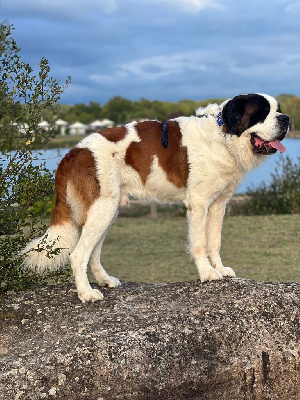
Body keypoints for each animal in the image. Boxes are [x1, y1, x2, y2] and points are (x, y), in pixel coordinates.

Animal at [22, 92, 290, 302]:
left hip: (108, 210)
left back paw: (105, 281)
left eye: (278, 110)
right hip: (101, 208)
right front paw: (206, 274)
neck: (223, 135)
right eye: (262, 113)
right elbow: (200, 243)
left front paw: (221, 269)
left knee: (93, 252)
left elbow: (215, 242)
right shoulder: (198, 205)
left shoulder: (218, 205)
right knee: (78, 254)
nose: (286, 119)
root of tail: (74, 151)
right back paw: (86, 294)